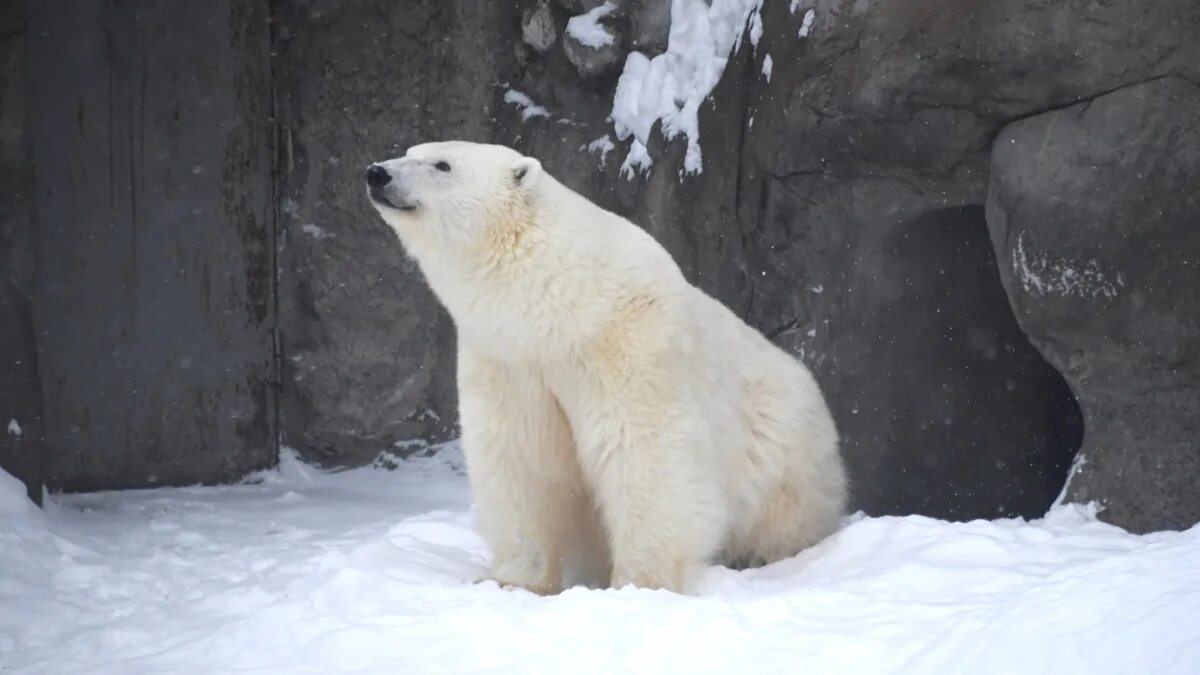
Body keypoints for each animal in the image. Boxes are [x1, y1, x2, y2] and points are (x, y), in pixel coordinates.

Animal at [364, 139, 844, 590]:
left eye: (442, 164)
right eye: (409, 151)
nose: (377, 173)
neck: (561, 305)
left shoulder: (626, 338)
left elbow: (644, 449)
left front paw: (639, 582)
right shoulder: (509, 358)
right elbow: (520, 457)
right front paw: (511, 580)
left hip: (785, 451)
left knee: (784, 513)